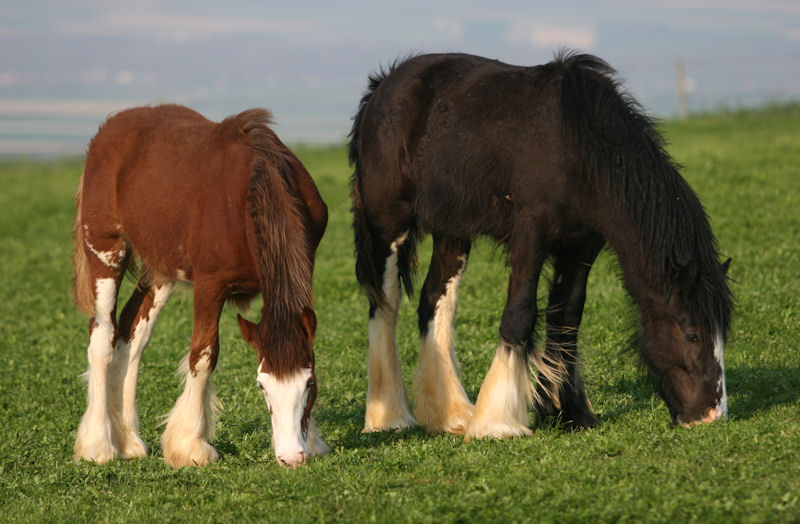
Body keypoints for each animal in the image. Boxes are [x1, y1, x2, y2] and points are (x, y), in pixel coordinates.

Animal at [72, 103, 328, 466]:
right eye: (261, 385)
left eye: (309, 383)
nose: (291, 456)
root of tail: (109, 128)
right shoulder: (210, 286)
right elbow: (204, 354)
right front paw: (190, 446)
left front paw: (314, 440)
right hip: (105, 250)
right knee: (102, 336)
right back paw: (99, 446)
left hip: (160, 271)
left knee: (132, 335)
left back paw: (129, 441)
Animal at [346, 51, 736, 440]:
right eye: (692, 333)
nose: (711, 414)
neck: (577, 145)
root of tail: (383, 86)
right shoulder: (531, 234)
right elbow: (520, 314)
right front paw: (498, 422)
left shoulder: (581, 247)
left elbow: (567, 317)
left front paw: (567, 411)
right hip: (388, 224)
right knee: (385, 305)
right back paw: (390, 417)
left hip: (452, 230)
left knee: (434, 302)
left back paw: (450, 415)